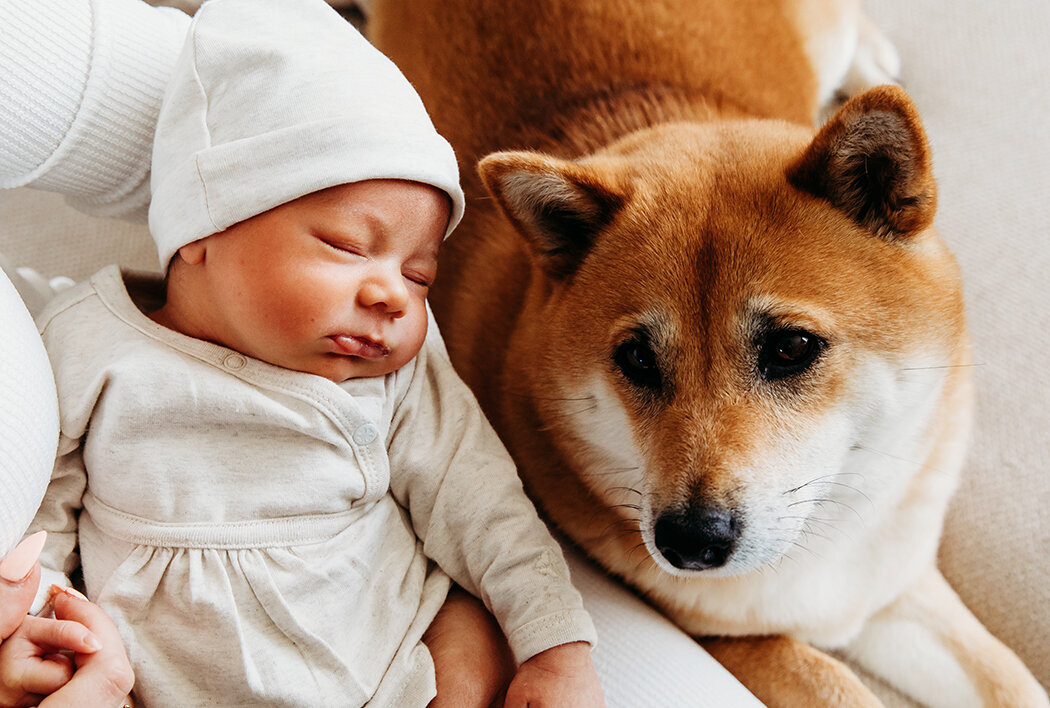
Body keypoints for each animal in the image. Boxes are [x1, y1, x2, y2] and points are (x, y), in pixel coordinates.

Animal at [369, 0, 1050, 701]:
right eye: (637, 359)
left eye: (791, 347)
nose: (689, 542)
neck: (822, 545)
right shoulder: (735, 639)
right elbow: (840, 683)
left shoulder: (895, 582)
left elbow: (1012, 683)